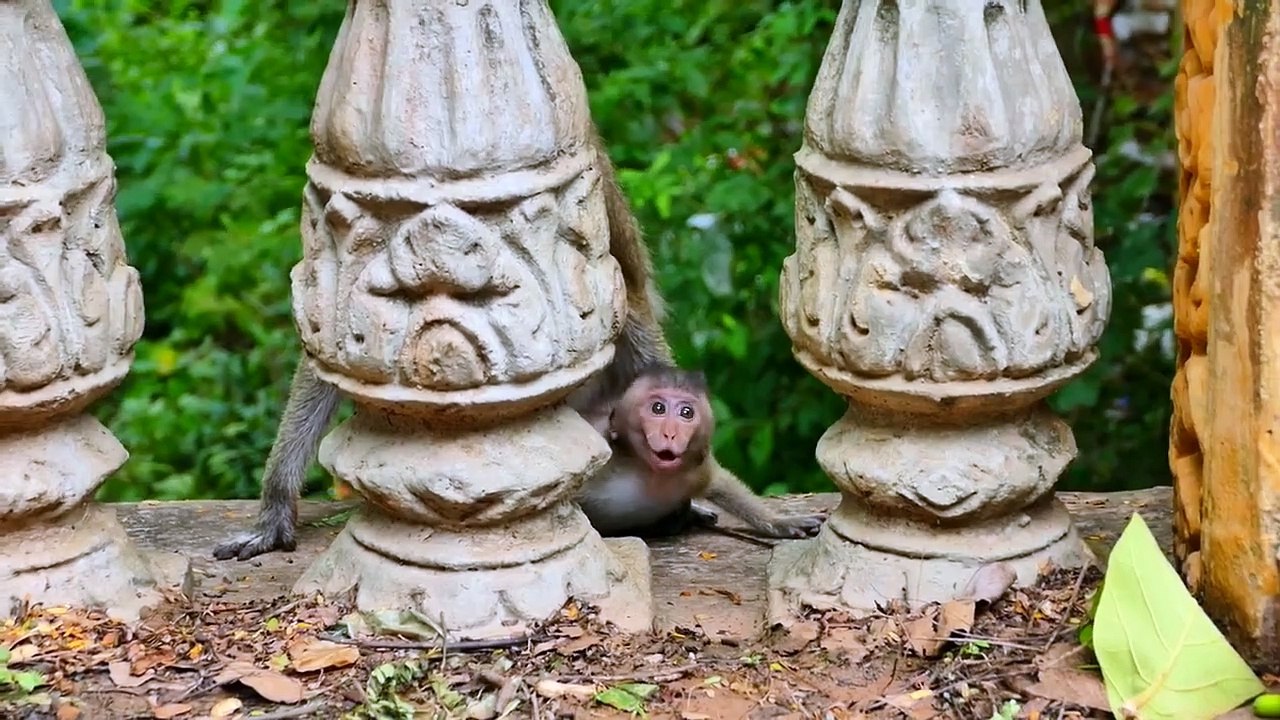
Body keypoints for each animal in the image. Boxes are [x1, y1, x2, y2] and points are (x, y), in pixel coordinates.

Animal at [577, 363, 827, 540]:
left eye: (686, 412)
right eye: (658, 408)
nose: (670, 434)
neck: (649, 473)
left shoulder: (695, 469)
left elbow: (721, 483)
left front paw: (780, 522)